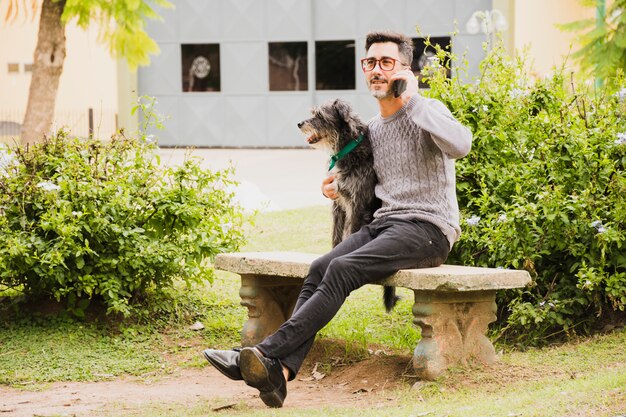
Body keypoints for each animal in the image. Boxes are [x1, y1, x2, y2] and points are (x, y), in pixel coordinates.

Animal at [296, 99, 394, 310]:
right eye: (312, 113)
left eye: (320, 115)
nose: (299, 124)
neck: (348, 148)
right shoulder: (337, 203)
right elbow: (336, 234)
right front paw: (333, 251)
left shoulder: (357, 205)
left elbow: (350, 232)